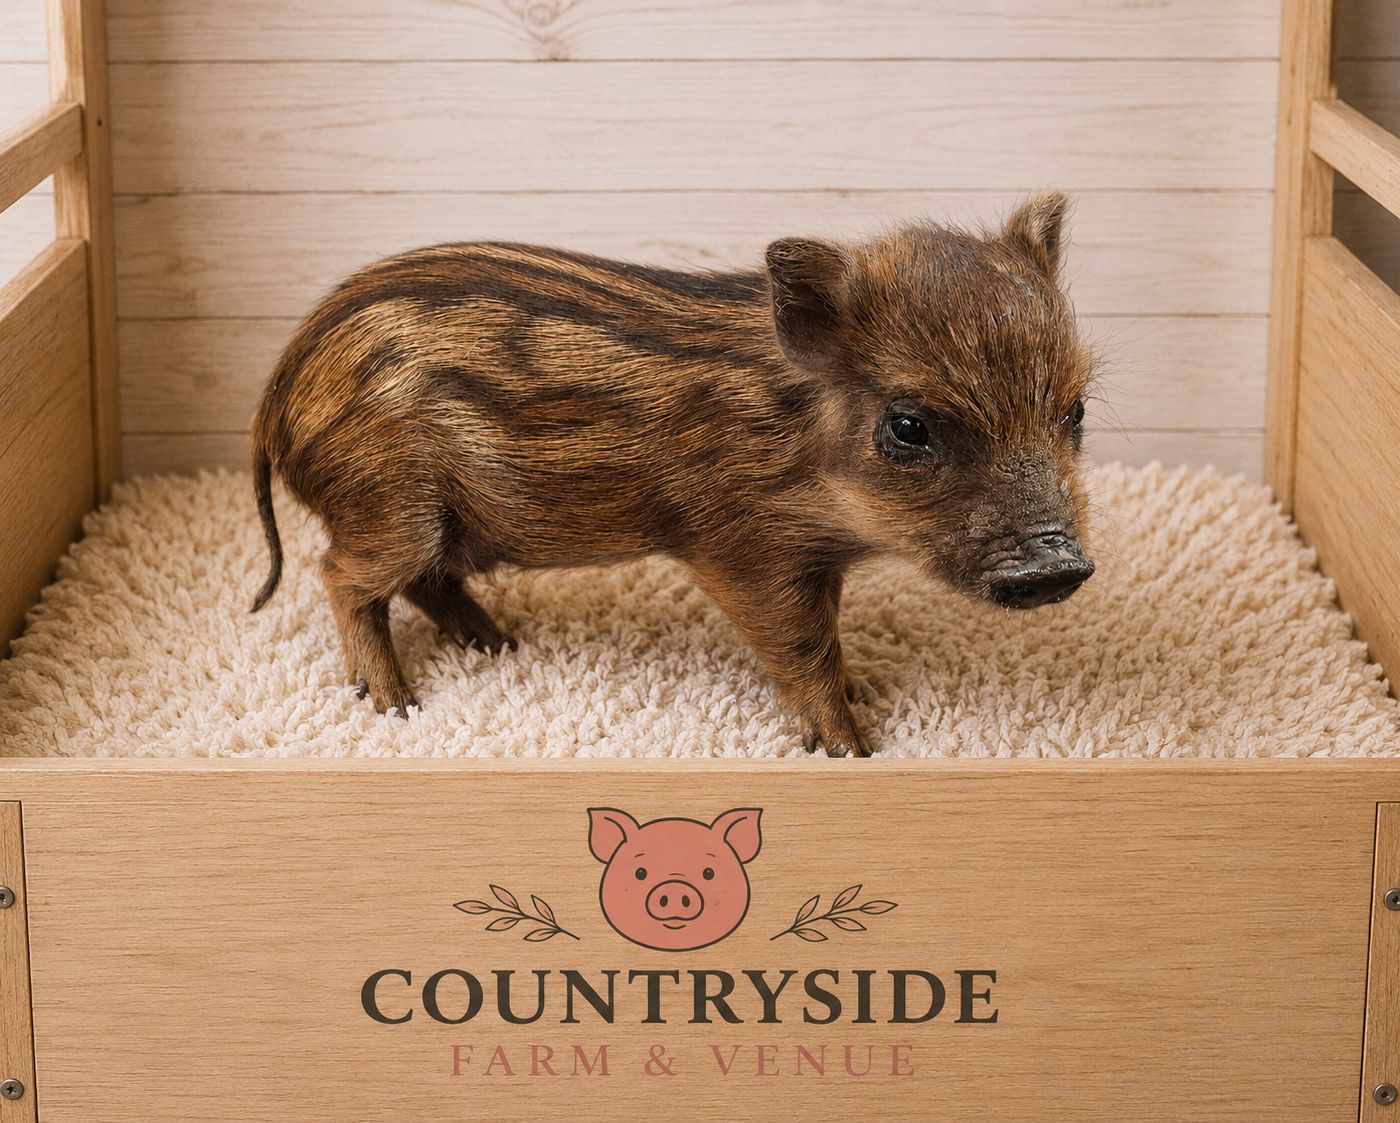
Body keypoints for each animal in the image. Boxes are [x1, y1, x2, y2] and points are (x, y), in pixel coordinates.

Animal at [249, 192, 1096, 757]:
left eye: (1077, 409)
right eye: (909, 426)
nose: (1056, 564)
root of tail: (279, 389)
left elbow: (828, 636)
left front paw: (860, 692)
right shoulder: (742, 549)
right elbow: (803, 646)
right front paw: (850, 745)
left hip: (445, 521)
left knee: (424, 582)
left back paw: (499, 645)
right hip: (391, 503)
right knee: (341, 575)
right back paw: (397, 704)